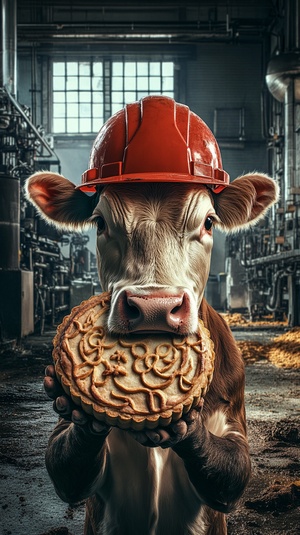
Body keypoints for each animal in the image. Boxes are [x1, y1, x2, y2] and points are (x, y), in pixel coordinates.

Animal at [25, 96, 278, 535]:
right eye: (100, 222)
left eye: (208, 221)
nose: (156, 308)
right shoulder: (69, 463)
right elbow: (64, 466)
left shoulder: (233, 430)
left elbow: (233, 472)